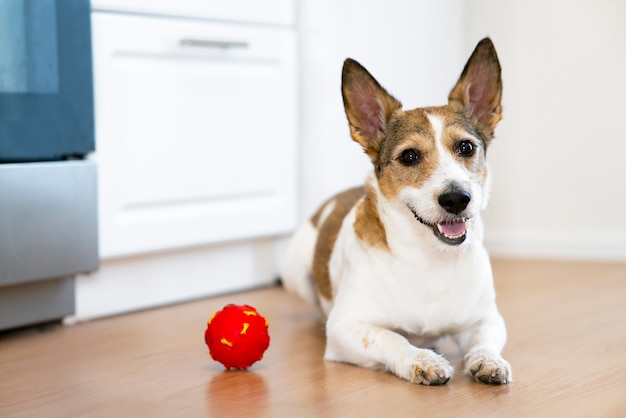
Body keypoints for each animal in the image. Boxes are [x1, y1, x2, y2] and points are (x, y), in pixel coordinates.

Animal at [280, 39, 510, 386]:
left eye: (467, 147)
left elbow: (484, 339)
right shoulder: (345, 328)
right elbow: (391, 337)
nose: (457, 198)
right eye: (409, 156)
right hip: (294, 272)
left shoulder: (486, 318)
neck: (429, 259)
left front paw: (487, 360)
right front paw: (421, 359)